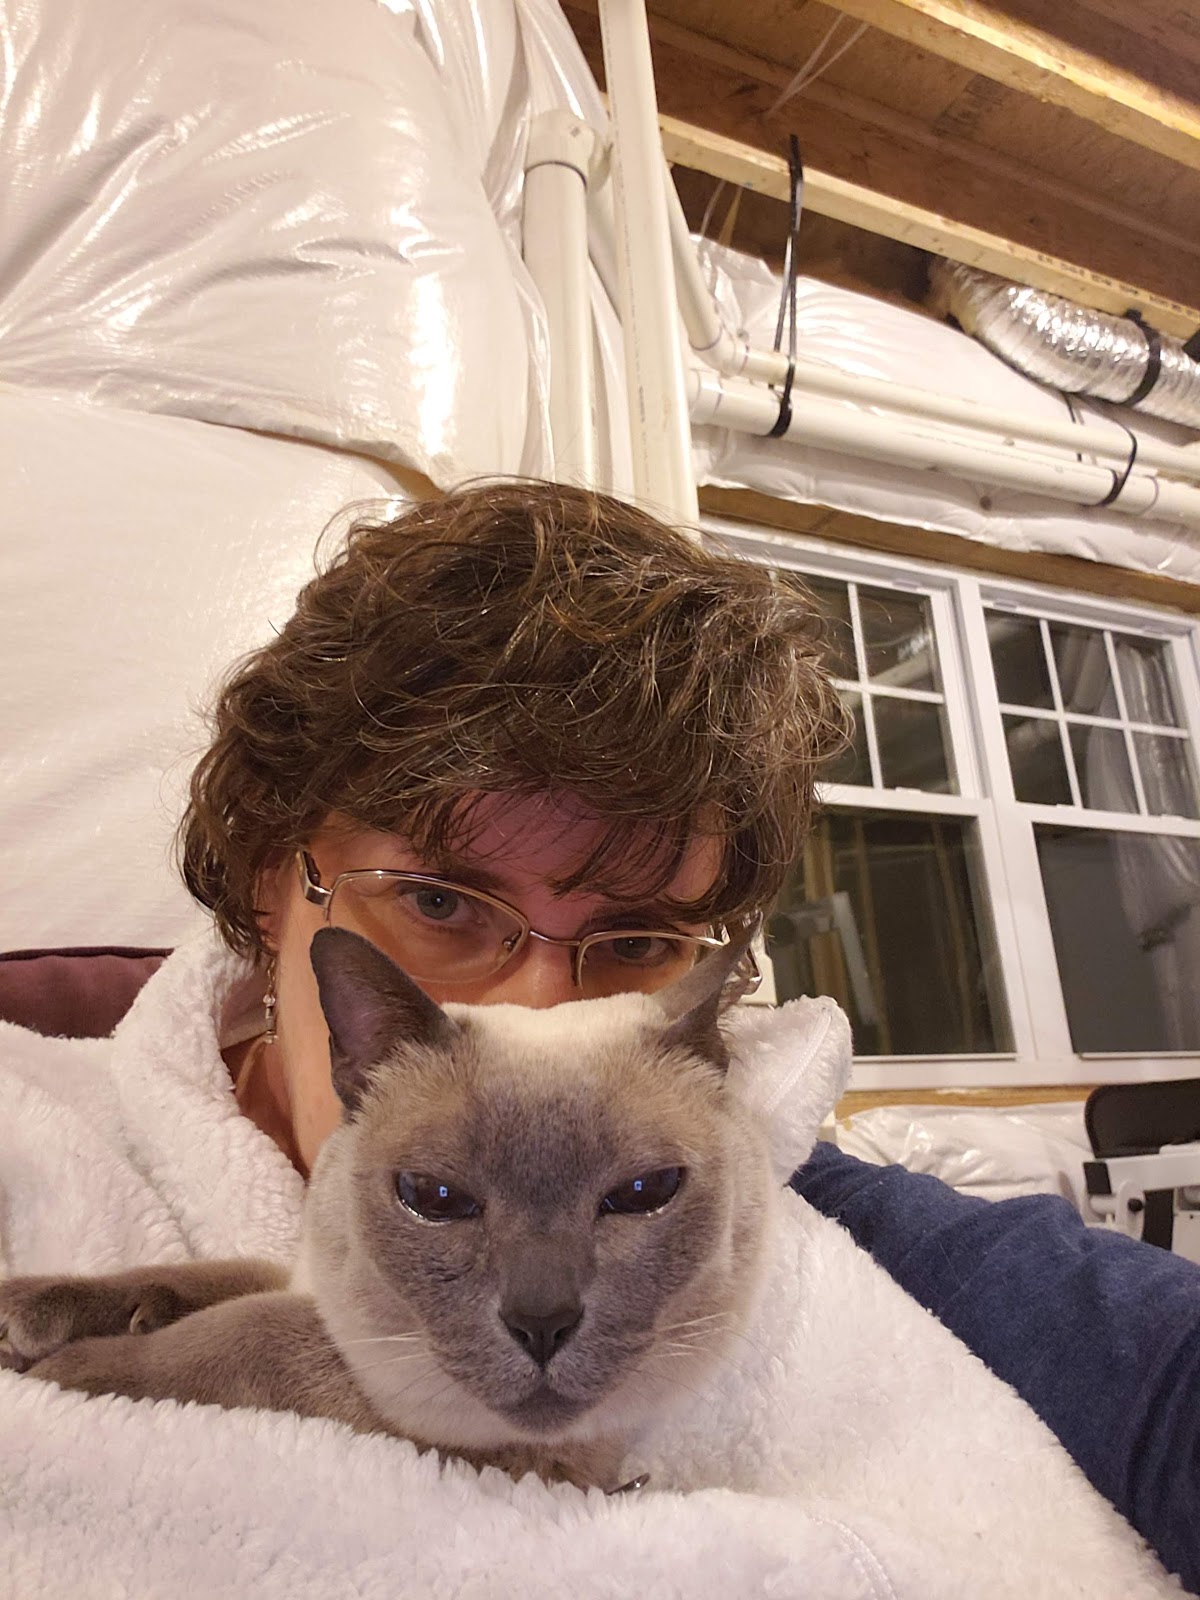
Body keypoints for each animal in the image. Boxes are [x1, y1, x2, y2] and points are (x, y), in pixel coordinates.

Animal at [0, 925, 775, 1490]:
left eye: (643, 1195)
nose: (542, 1323)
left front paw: (71, 1372)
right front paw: (30, 1314)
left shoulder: (490, 1446)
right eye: (435, 1199)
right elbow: (209, 1279)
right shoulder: (302, 1279)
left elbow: (249, 1329)